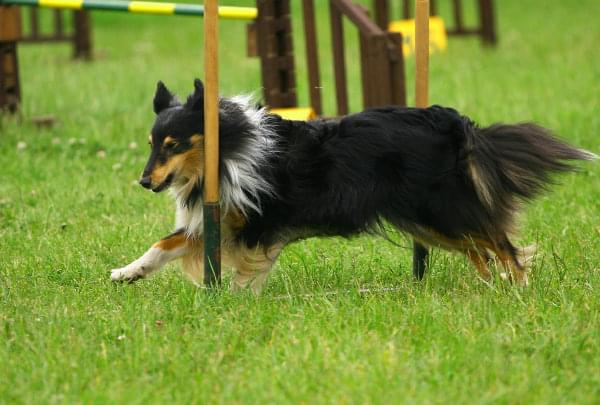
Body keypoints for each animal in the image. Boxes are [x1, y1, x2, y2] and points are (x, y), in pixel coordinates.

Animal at [109, 79, 596, 290]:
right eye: (151, 145)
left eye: (172, 145)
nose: (145, 181)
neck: (230, 148)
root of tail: (454, 120)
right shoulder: (222, 220)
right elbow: (165, 243)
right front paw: (128, 272)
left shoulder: (253, 225)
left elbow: (243, 266)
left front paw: (237, 296)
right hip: (428, 221)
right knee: (482, 248)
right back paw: (492, 287)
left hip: (441, 209)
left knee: (499, 239)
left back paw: (518, 286)